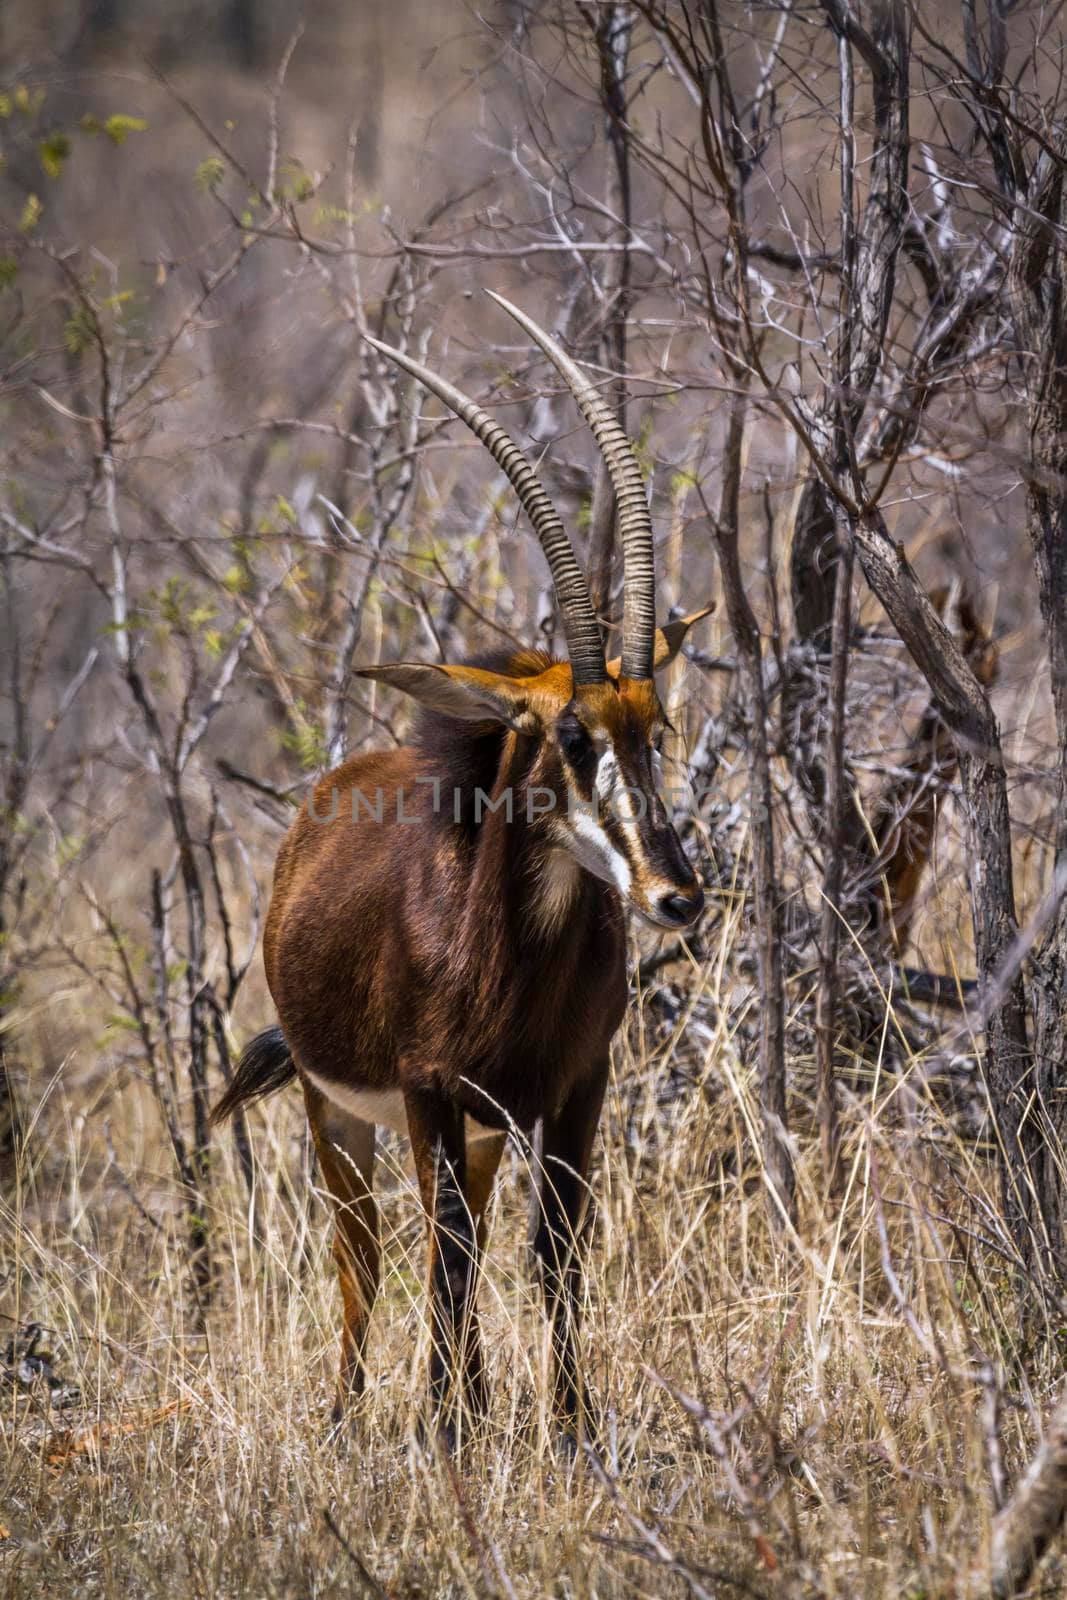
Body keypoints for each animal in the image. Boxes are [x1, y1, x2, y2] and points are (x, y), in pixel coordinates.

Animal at [211, 291, 710, 1452]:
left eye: (653, 727)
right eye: (569, 735)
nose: (675, 897)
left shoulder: (572, 1088)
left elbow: (552, 1250)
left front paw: (566, 1426)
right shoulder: (428, 1087)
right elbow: (436, 1254)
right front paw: (440, 1430)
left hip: (477, 1129)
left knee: (468, 1238)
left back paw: (473, 1400)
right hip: (341, 1109)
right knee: (364, 1253)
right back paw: (355, 1412)